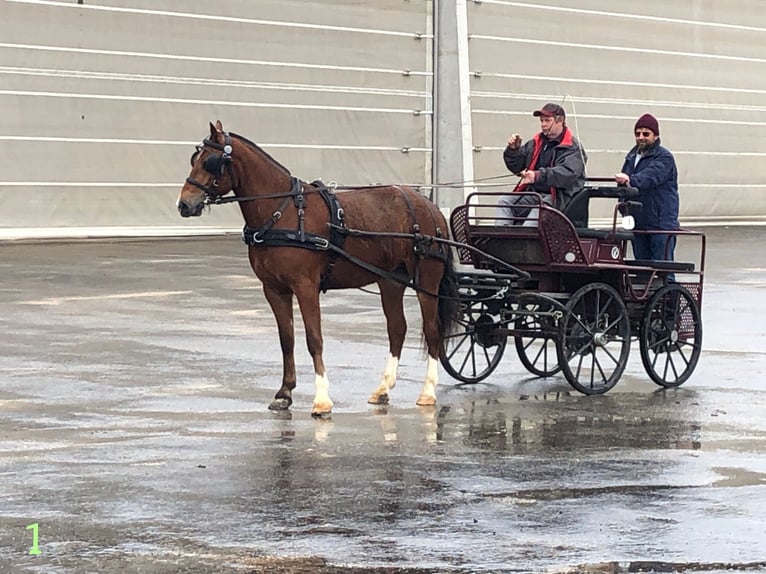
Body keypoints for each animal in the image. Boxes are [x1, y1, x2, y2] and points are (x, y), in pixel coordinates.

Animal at [177, 122, 460, 418]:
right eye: (194, 159)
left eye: (210, 162)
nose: (184, 204)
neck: (283, 213)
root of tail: (429, 206)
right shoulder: (274, 289)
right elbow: (287, 339)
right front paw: (284, 393)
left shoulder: (306, 287)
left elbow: (314, 339)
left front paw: (322, 399)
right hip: (391, 281)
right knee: (397, 329)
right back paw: (383, 388)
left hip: (427, 282)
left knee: (432, 331)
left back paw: (427, 391)